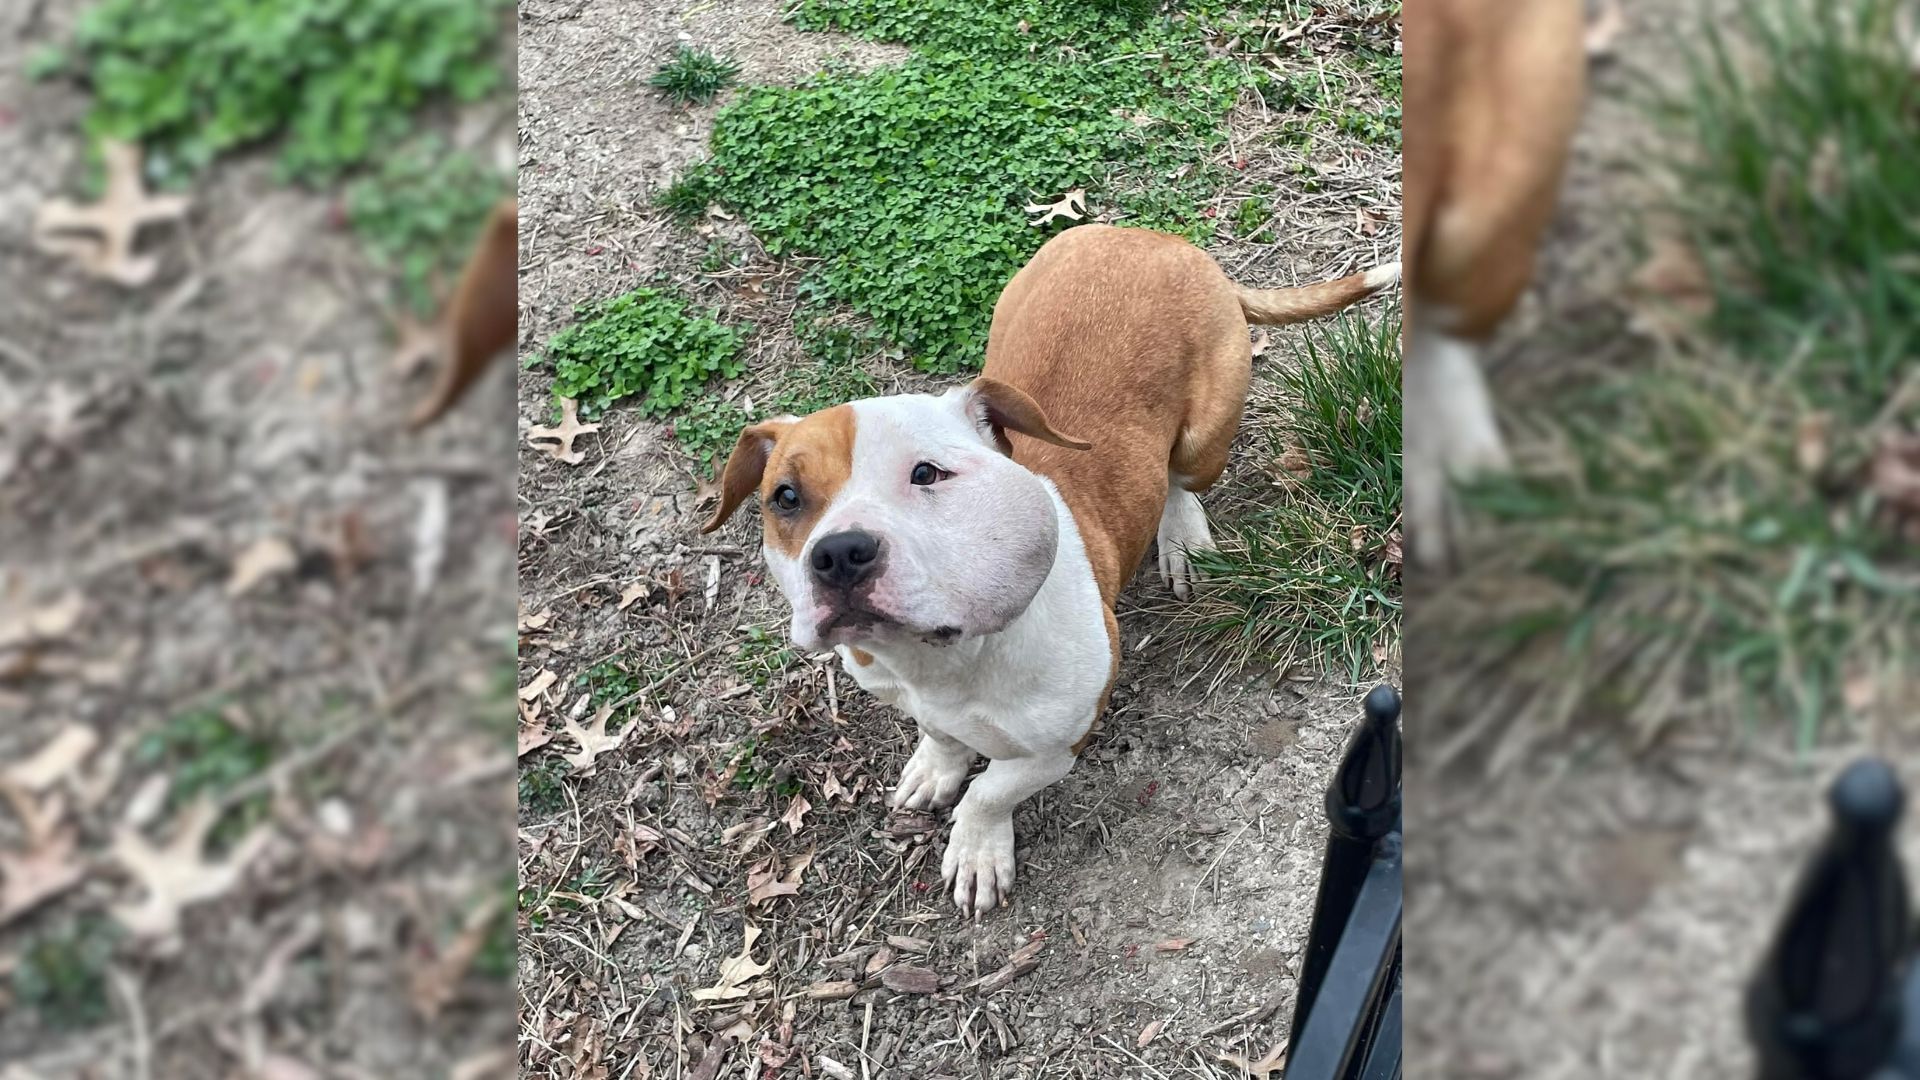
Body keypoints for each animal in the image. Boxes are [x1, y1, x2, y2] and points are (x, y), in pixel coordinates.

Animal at [706, 222, 1397, 910]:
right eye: (785, 498)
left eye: (927, 473)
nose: (839, 553)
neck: (946, 660)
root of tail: (1155, 239)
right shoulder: (903, 692)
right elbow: (943, 737)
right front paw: (936, 766)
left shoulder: (1063, 739)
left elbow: (992, 790)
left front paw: (977, 848)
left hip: (1205, 436)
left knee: (1178, 479)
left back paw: (1182, 536)